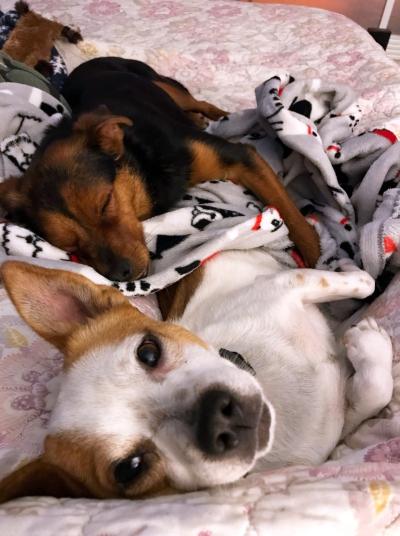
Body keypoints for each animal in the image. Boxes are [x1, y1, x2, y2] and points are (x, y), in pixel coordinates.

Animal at [0, 57, 320, 282]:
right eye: (69, 245)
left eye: (105, 203)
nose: (121, 274)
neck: (143, 165)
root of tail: (87, 63)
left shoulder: (241, 157)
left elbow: (287, 210)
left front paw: (317, 255)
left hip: (164, 85)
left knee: (198, 101)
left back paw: (223, 116)